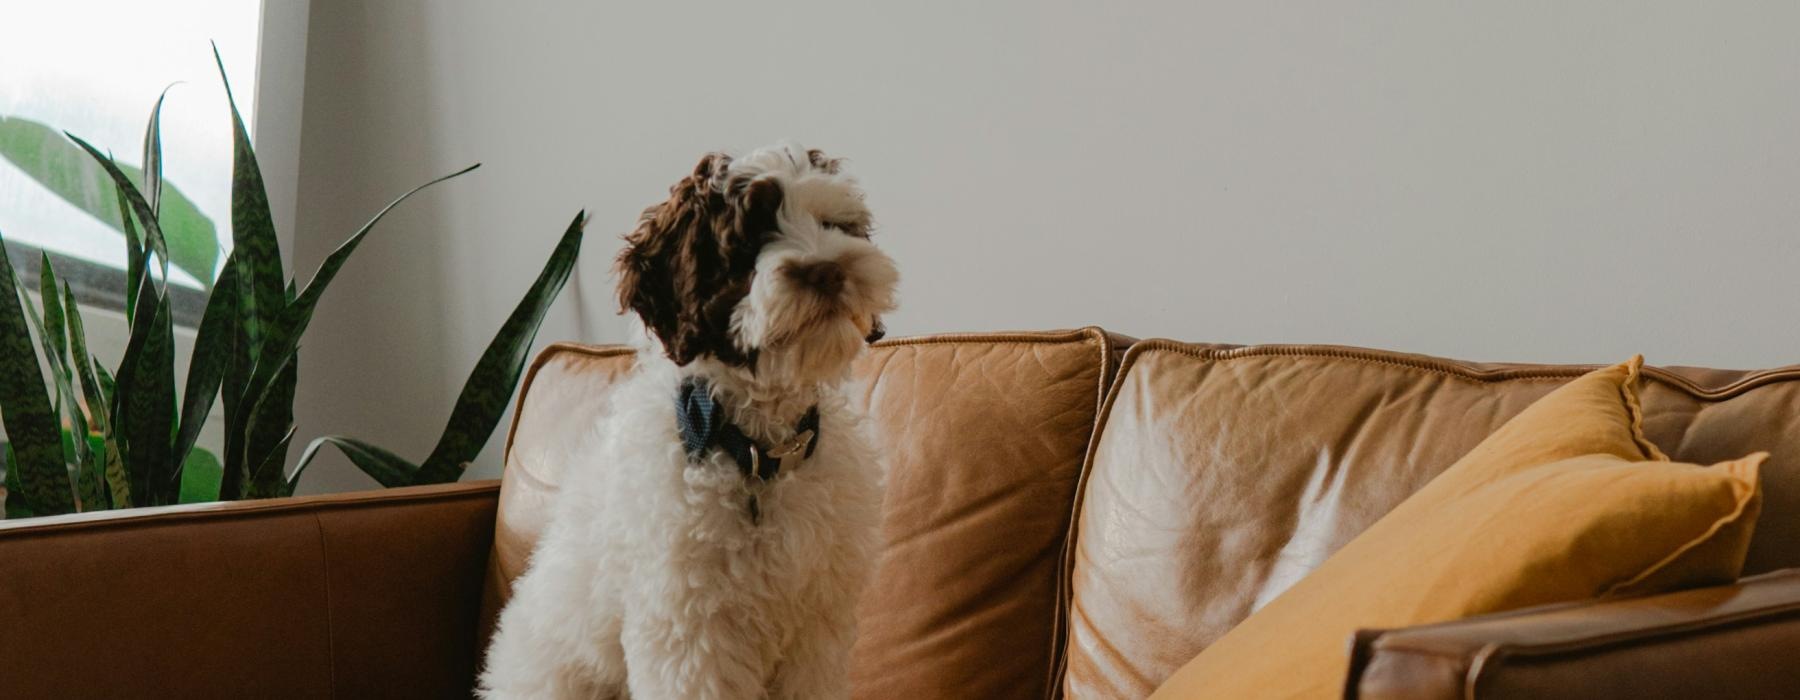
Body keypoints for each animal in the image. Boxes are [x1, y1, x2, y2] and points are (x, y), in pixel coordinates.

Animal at [478, 143, 900, 698]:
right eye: (747, 244)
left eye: (833, 224)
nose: (828, 271)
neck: (757, 450)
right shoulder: (692, 629)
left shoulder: (817, 629)